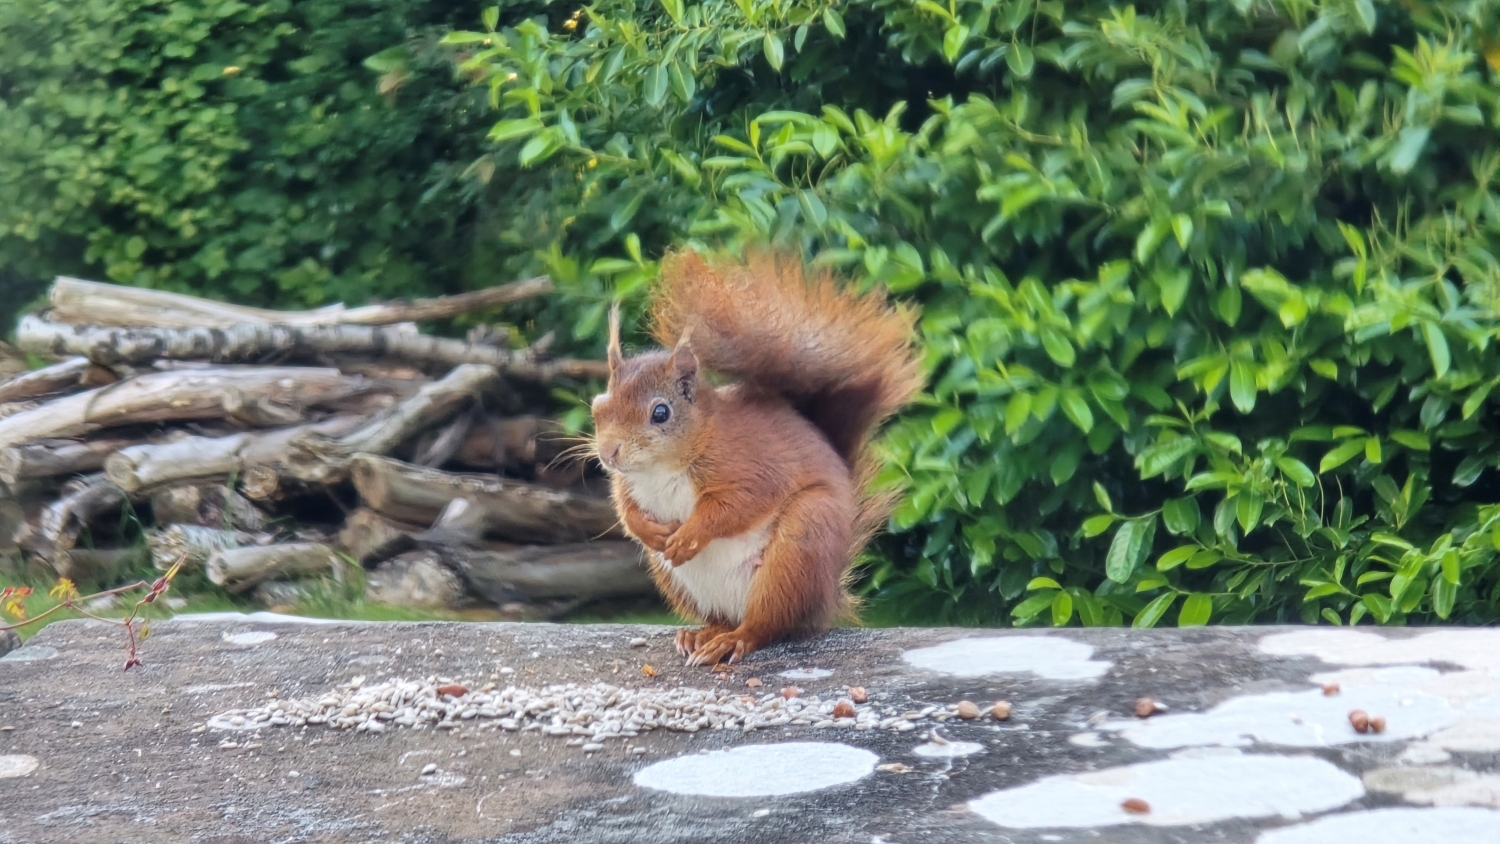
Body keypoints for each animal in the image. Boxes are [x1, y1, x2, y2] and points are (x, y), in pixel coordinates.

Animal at [590, 248, 923, 666]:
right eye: (598, 406)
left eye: (660, 413)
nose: (609, 453)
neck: (661, 469)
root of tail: (827, 598)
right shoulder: (628, 483)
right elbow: (626, 509)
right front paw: (648, 530)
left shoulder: (751, 465)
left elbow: (736, 505)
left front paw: (689, 535)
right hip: (674, 578)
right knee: (720, 617)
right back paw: (700, 635)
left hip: (799, 548)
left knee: (764, 626)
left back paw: (732, 641)